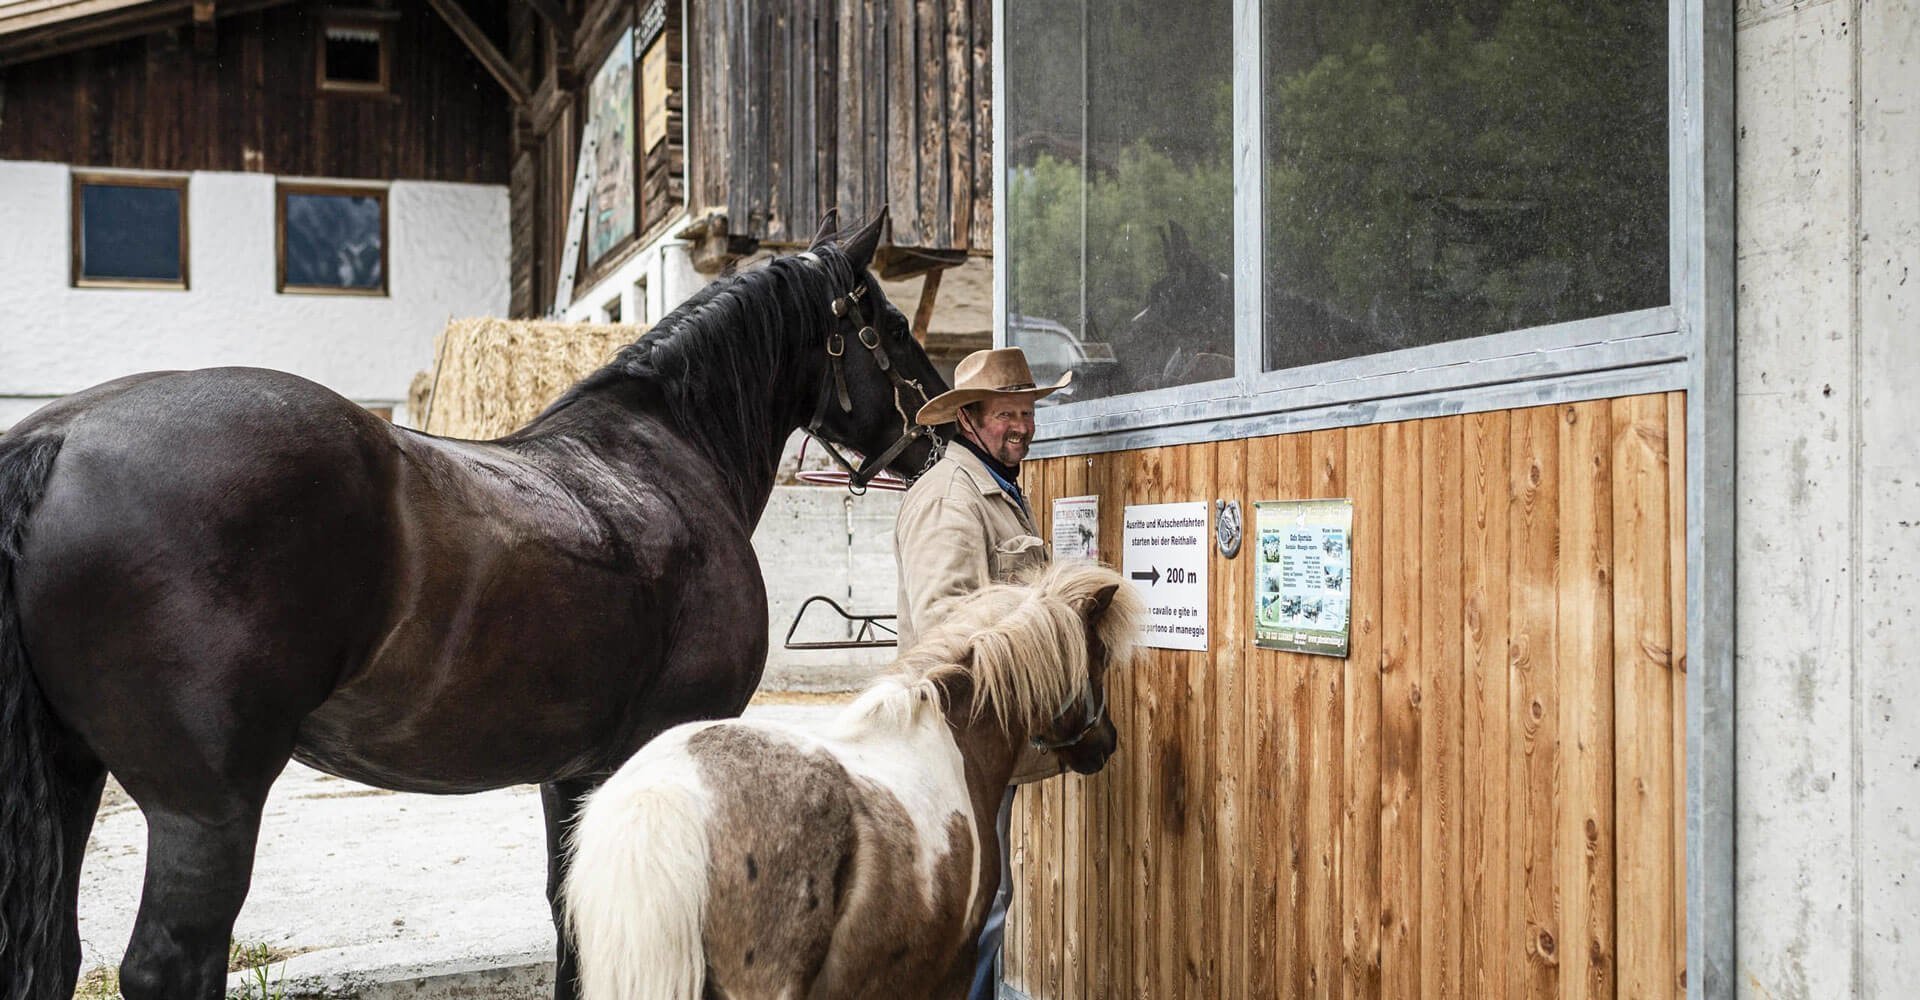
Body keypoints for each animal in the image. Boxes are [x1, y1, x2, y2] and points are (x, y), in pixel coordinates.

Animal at [0, 210, 948, 998]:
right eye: (892, 327)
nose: (946, 434)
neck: (663, 456)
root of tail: (58, 435)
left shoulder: (575, 771)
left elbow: (574, 912)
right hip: (206, 809)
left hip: (79, 778)